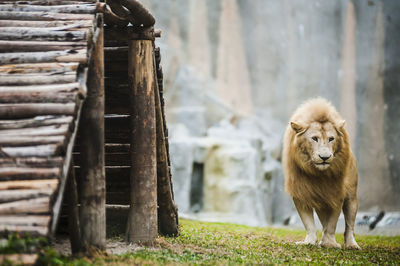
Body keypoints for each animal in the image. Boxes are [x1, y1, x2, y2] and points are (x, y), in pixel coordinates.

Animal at [282, 98, 362, 249]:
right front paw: (310, 241)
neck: (318, 174)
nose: (324, 157)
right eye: (314, 138)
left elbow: (332, 223)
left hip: (352, 197)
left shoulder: (337, 193)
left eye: (331, 138)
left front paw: (329, 243)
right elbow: (308, 222)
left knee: (350, 225)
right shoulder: (300, 193)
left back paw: (351, 244)